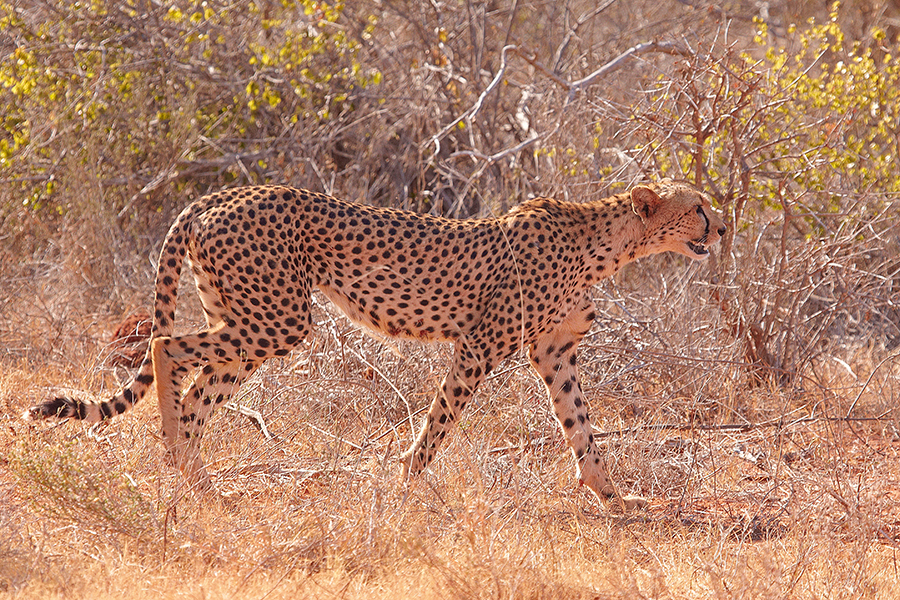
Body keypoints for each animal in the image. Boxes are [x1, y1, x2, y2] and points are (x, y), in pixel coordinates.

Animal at [26, 180, 724, 508]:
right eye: (697, 208)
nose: (722, 229)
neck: (607, 242)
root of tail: (225, 192)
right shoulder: (479, 346)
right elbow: (440, 421)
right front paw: (405, 484)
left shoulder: (555, 352)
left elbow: (581, 425)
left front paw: (613, 495)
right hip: (279, 318)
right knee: (166, 350)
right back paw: (174, 458)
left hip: (251, 321)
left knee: (198, 388)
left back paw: (198, 484)